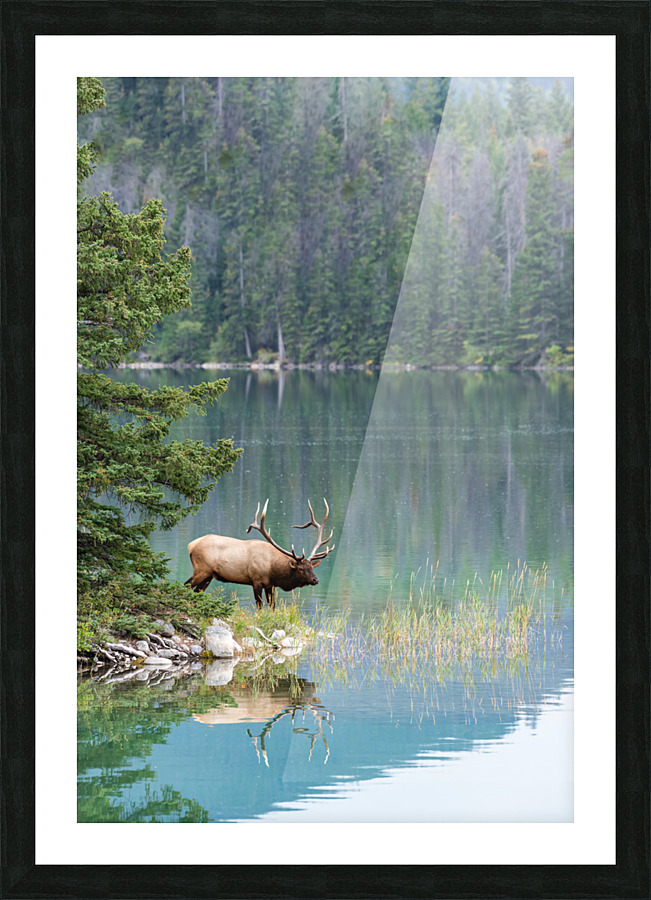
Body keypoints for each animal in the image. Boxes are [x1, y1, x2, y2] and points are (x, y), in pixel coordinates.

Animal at [185, 499, 335, 610]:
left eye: (312, 567)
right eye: (301, 568)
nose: (315, 580)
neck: (273, 569)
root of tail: (191, 545)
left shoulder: (270, 585)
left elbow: (273, 606)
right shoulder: (256, 580)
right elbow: (260, 606)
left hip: (209, 575)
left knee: (197, 591)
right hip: (201, 570)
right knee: (186, 586)